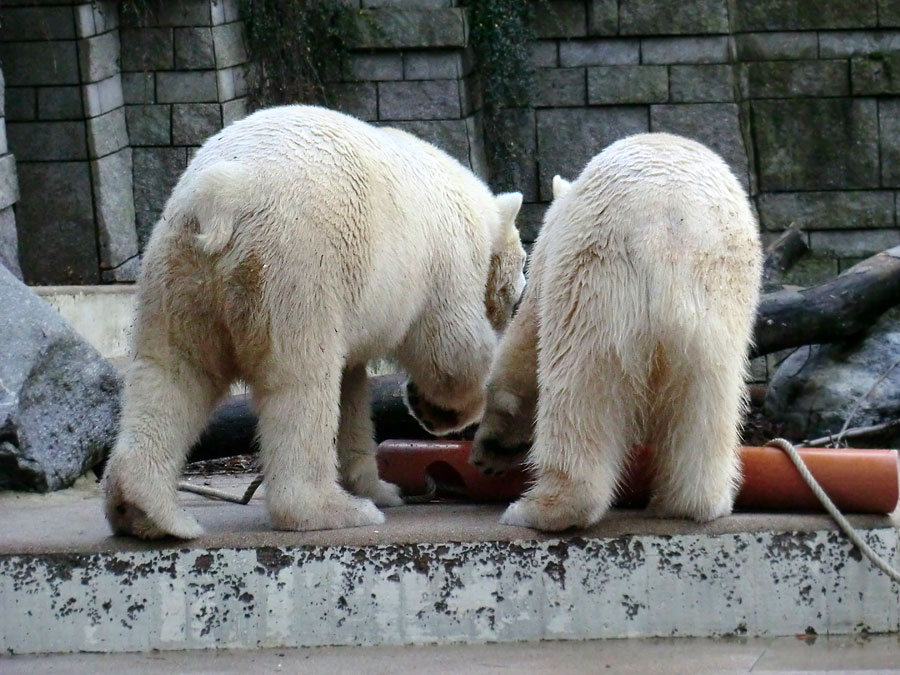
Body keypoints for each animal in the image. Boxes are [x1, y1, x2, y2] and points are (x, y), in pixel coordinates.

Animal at [103, 105, 528, 540]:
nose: (520, 295)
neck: (476, 211)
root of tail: (222, 198)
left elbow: (353, 391)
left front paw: (378, 487)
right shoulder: (446, 259)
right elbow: (452, 349)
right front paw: (435, 410)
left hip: (178, 269)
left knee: (173, 372)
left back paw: (145, 511)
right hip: (297, 267)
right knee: (302, 382)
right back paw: (330, 510)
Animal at [472, 133, 760, 532]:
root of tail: (667, 232)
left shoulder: (549, 259)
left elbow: (523, 351)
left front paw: (493, 447)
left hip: (595, 284)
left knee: (579, 389)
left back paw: (541, 510)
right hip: (715, 313)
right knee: (708, 404)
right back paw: (687, 504)